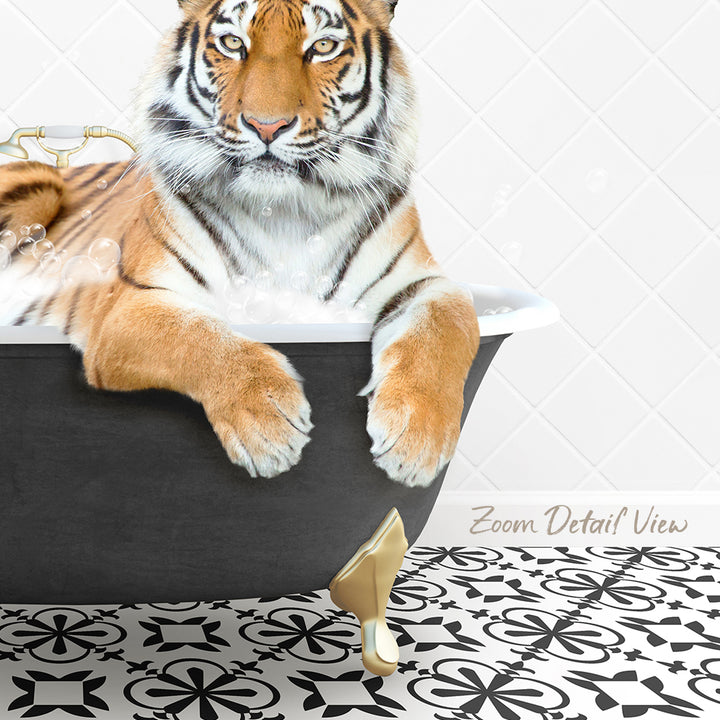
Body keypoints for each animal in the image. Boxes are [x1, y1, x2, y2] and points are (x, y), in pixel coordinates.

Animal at [0, 0, 480, 488]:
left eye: (323, 46)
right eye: (233, 43)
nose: (267, 126)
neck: (285, 213)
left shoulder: (424, 282)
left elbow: (447, 325)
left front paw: (417, 438)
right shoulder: (129, 306)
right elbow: (198, 336)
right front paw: (268, 426)